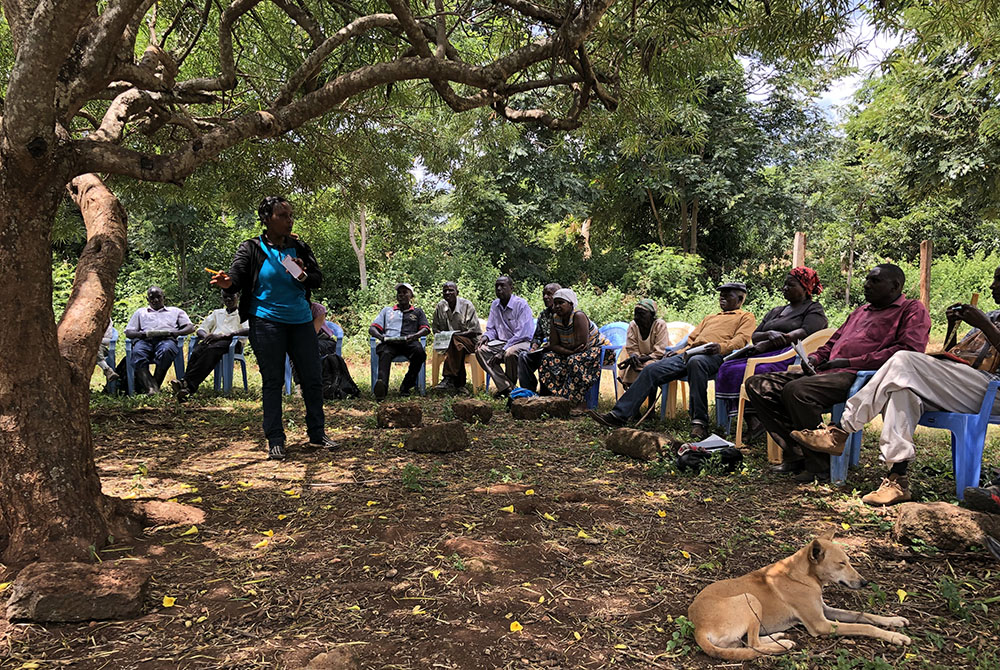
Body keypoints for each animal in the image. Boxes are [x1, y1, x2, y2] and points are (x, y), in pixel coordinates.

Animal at [688, 536, 916, 660]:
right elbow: (865, 626)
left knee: (745, 643)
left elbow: (864, 615)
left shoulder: (825, 611)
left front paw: (894, 620)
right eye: (841, 563)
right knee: (753, 644)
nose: (865, 583)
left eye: (848, 561)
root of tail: (698, 627)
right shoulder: (821, 624)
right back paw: (782, 645)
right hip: (749, 598)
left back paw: (779, 637)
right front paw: (895, 637)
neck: (804, 575)